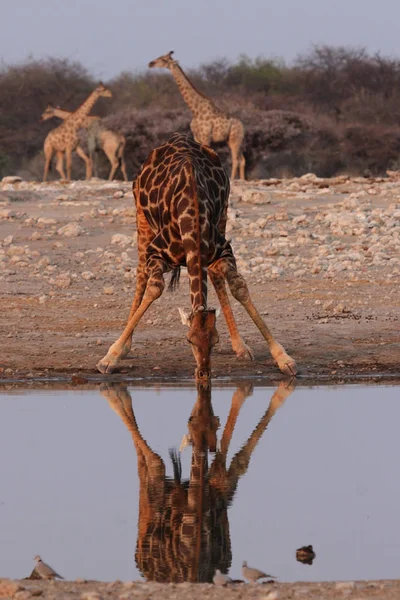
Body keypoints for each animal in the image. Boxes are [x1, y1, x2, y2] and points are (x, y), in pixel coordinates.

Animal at [97, 134, 296, 382]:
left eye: (215, 340)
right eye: (189, 340)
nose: (203, 372)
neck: (191, 217)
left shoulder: (223, 249)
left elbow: (238, 286)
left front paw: (283, 358)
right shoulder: (156, 253)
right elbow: (154, 288)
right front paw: (110, 357)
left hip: (224, 214)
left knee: (215, 274)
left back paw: (240, 346)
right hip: (141, 219)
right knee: (141, 274)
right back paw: (123, 347)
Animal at [100, 382, 294, 584]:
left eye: (210, 423)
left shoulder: (220, 493)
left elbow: (236, 461)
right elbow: (156, 462)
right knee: (143, 465)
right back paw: (114, 390)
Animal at [148, 51, 245, 179]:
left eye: (164, 59)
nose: (150, 63)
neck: (195, 110)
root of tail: (242, 125)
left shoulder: (206, 136)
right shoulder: (197, 137)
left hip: (235, 139)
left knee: (236, 159)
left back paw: (233, 179)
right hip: (233, 140)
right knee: (242, 159)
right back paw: (242, 179)